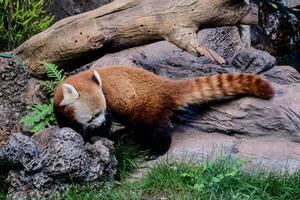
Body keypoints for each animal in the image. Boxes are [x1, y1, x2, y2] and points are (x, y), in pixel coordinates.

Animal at [52, 65, 274, 159]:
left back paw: (156, 150)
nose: (103, 121)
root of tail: (164, 84)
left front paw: (98, 137)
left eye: (103, 111)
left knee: (157, 130)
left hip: (147, 109)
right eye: (93, 115)